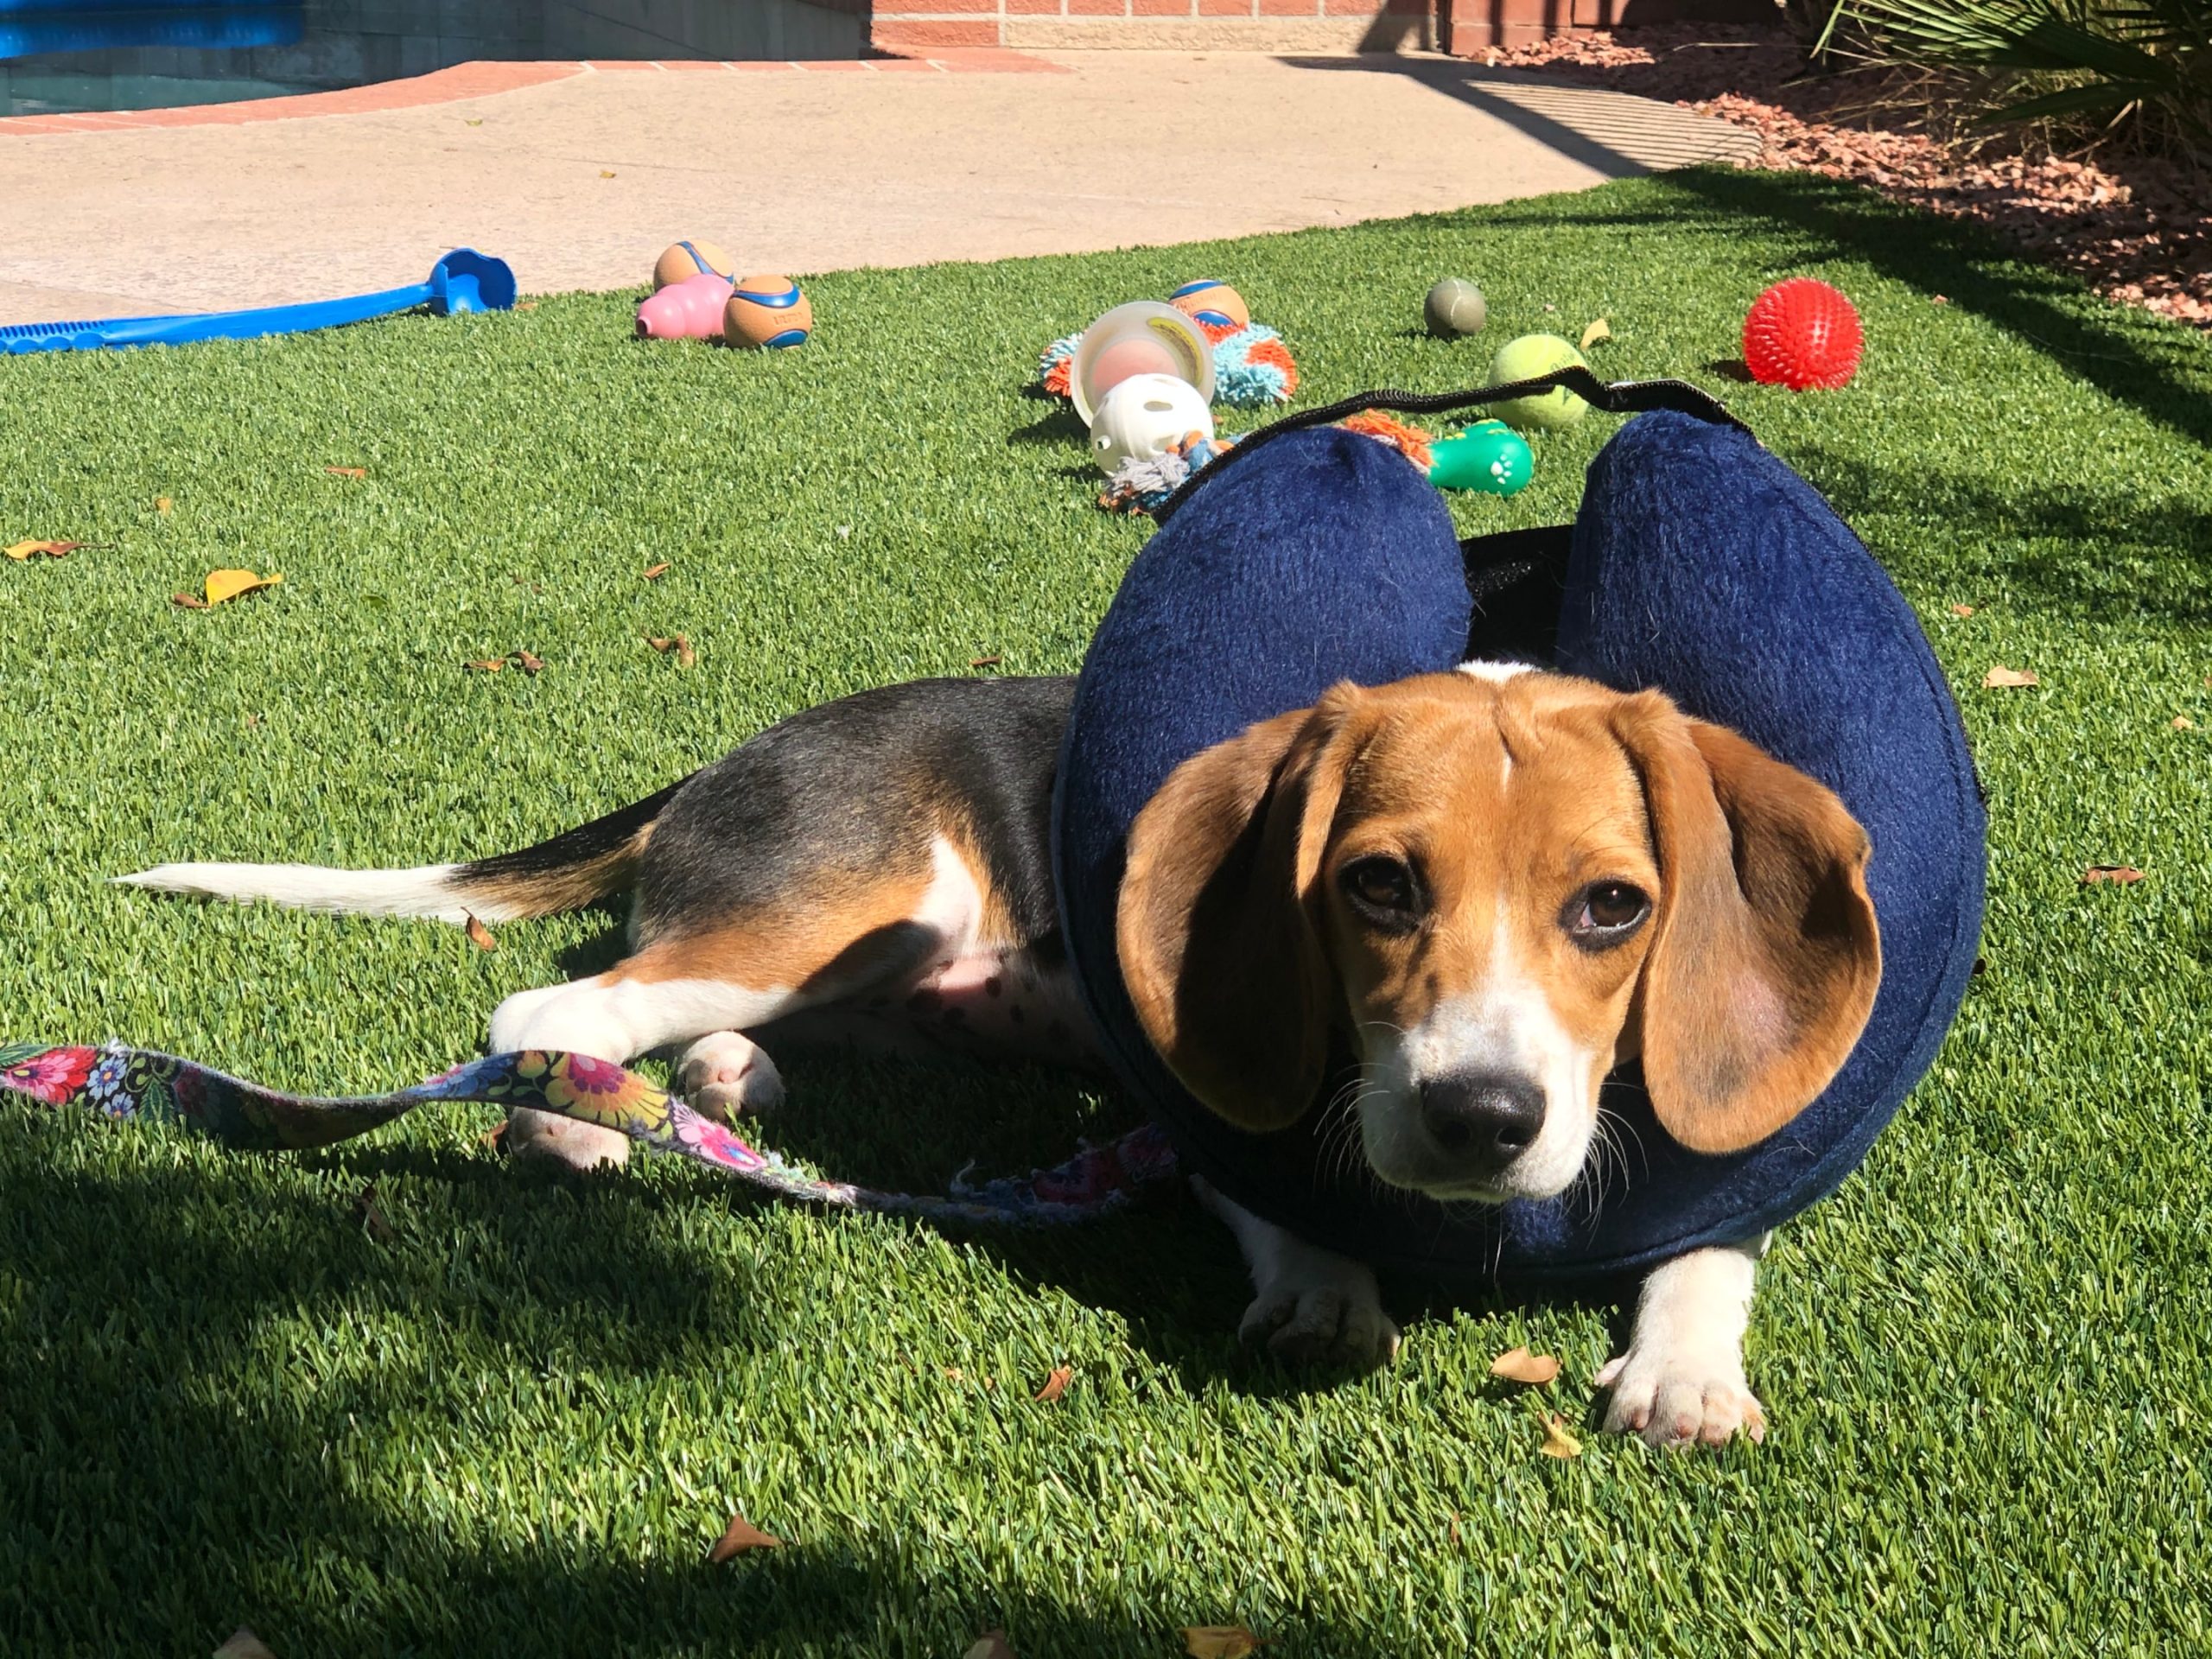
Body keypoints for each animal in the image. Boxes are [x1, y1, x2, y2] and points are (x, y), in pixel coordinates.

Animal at [125, 668, 1885, 1451]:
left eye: (1614, 910)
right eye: (1376, 887)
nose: (1482, 1118)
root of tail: (720, 763)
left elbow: (1712, 1239)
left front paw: (1686, 1369)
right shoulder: (1208, 1108)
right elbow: (1284, 1206)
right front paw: (1326, 1290)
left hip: (877, 962)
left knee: (709, 1036)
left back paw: (721, 1095)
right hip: (843, 903)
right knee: (551, 1022)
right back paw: (578, 1125)